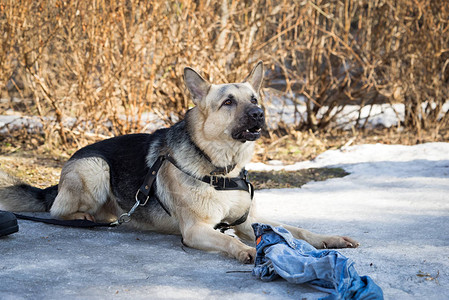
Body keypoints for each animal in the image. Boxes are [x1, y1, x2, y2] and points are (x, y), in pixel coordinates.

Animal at [0, 61, 356, 262]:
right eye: (228, 102)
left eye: (254, 99)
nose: (258, 114)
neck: (221, 167)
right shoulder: (197, 230)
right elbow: (226, 240)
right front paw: (248, 251)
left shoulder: (246, 221)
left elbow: (296, 229)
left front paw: (328, 239)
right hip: (95, 167)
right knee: (57, 210)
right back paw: (82, 217)